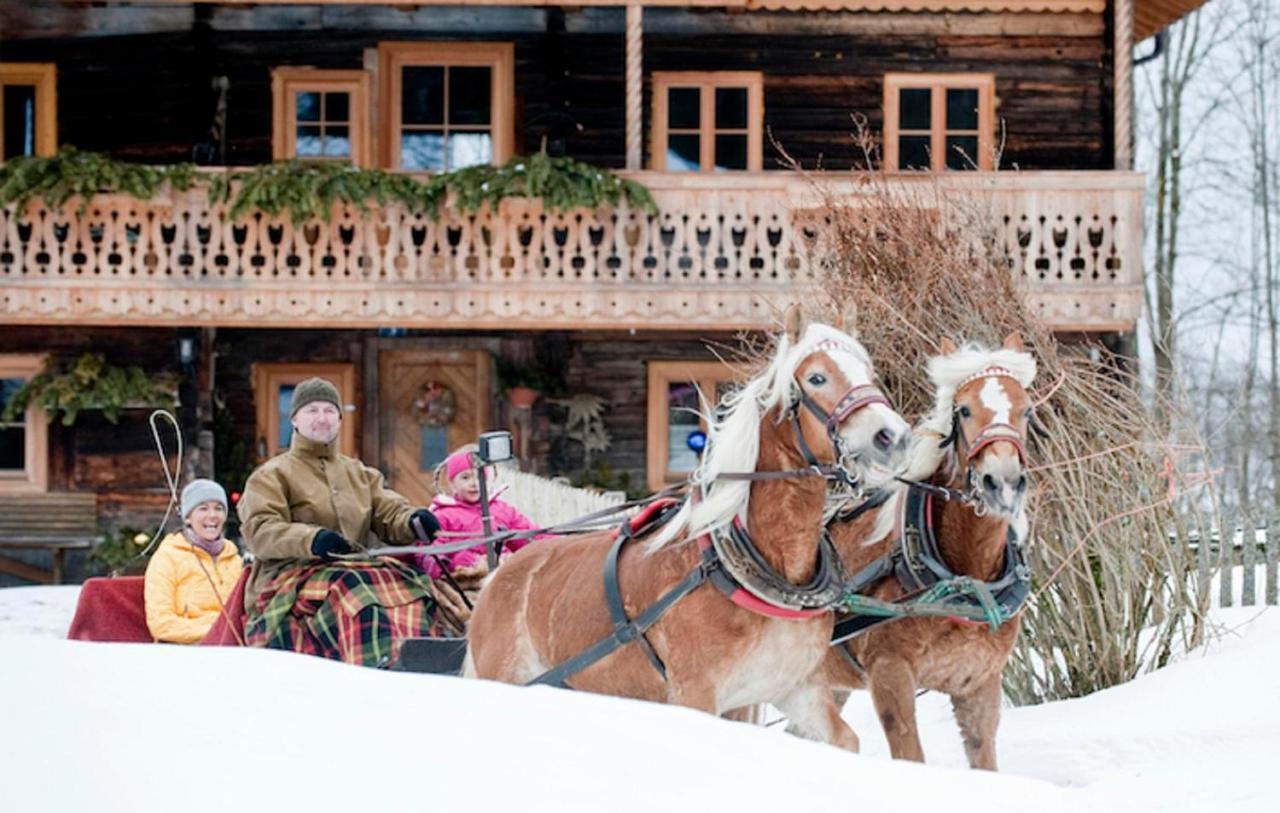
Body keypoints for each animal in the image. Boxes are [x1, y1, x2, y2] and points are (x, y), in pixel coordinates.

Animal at [465, 308, 916, 752]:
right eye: (817, 377)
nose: (892, 437)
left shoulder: (793, 687)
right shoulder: (696, 693)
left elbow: (845, 740)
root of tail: (496, 576)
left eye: (868, 372)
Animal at [808, 332, 1039, 768]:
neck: (965, 577)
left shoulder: (979, 684)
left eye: (1026, 409)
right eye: (963, 409)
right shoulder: (890, 674)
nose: (1002, 482)